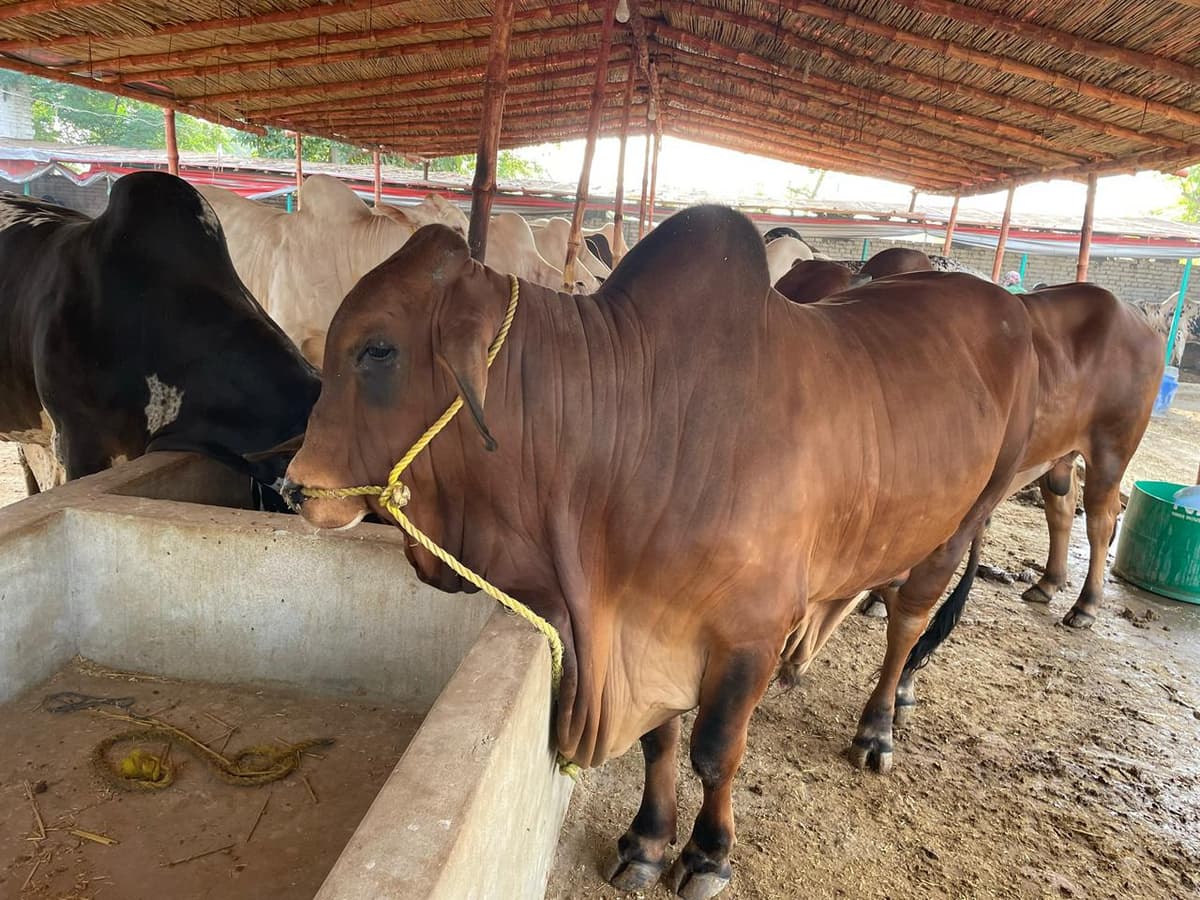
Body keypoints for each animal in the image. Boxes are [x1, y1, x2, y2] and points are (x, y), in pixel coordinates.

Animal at [282, 206, 1038, 898]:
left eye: (379, 350)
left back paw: (878, 728)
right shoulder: (655, 626)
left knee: (908, 619)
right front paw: (647, 841)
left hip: (963, 521)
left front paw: (707, 856)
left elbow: (715, 753)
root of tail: (1000, 300)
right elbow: (661, 740)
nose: (295, 486)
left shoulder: (748, 634)